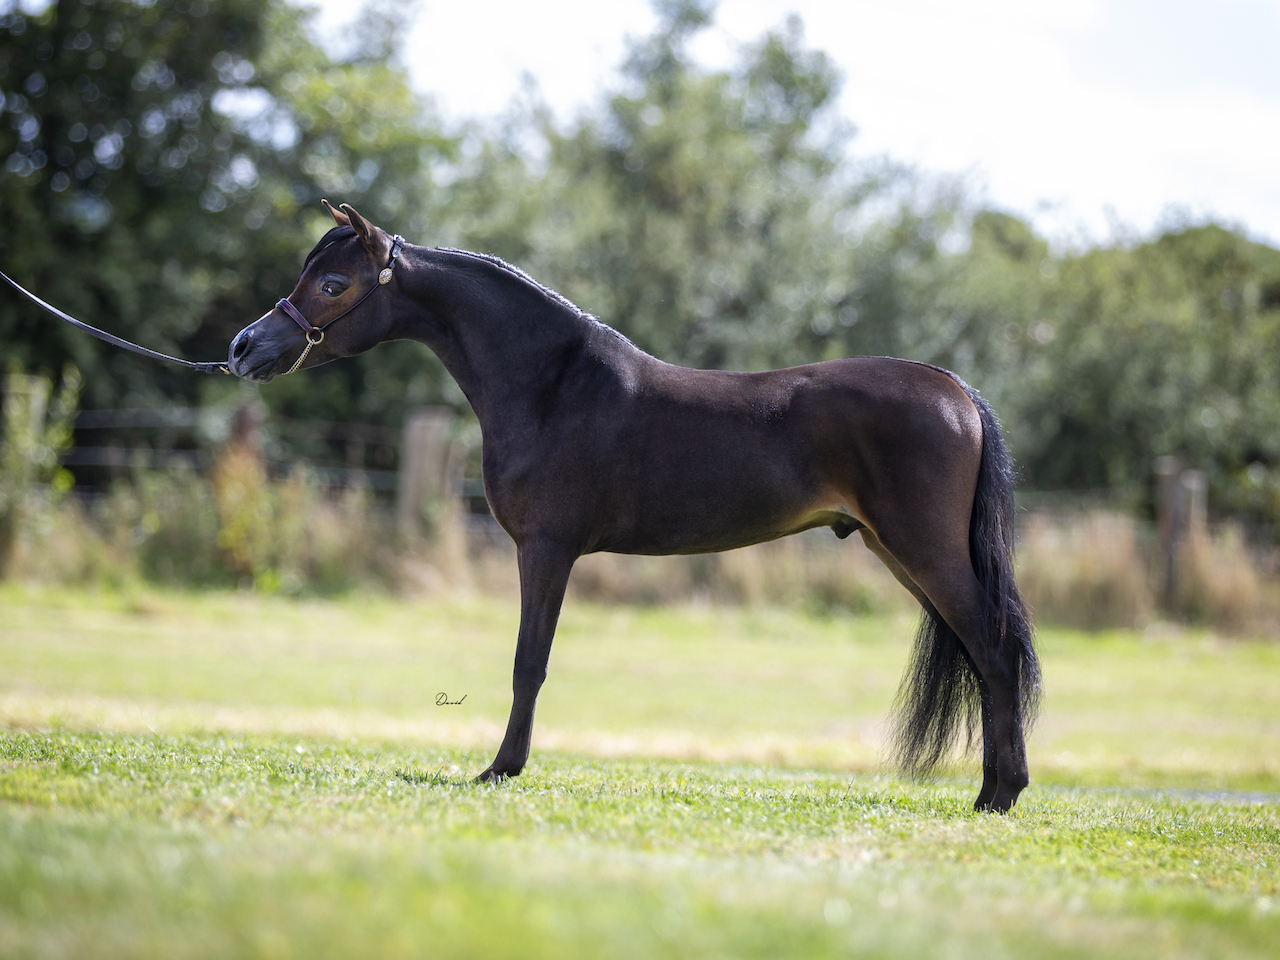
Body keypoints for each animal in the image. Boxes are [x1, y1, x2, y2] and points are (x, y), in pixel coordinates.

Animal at [227, 201, 1040, 813]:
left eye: (334, 284)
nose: (242, 348)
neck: (553, 385)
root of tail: (955, 390)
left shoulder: (546, 549)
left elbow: (529, 661)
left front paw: (500, 768)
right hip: (898, 551)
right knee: (981, 654)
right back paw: (990, 790)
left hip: (923, 550)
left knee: (995, 651)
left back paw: (1000, 796)